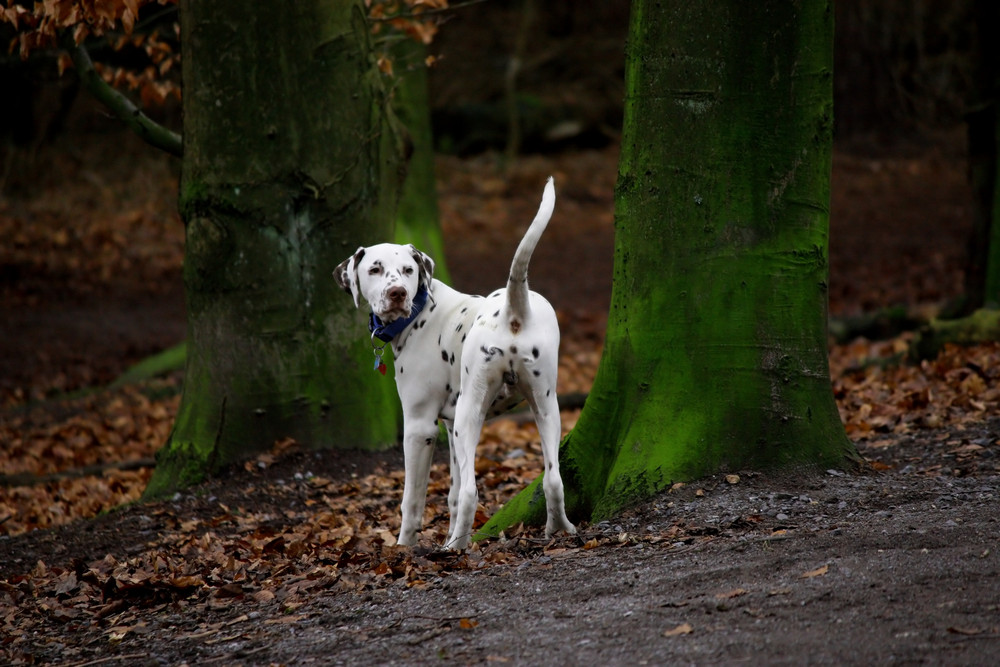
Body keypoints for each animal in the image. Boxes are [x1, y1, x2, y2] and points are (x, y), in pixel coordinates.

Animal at [334, 176, 576, 548]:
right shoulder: (449, 428)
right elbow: (450, 492)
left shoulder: (420, 428)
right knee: (552, 480)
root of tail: (513, 307)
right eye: (375, 269)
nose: (397, 293)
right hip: (543, 411)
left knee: (471, 493)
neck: (421, 312)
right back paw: (557, 529)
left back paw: (455, 547)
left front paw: (403, 548)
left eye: (407, 270)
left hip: (471, 415)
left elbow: (413, 500)